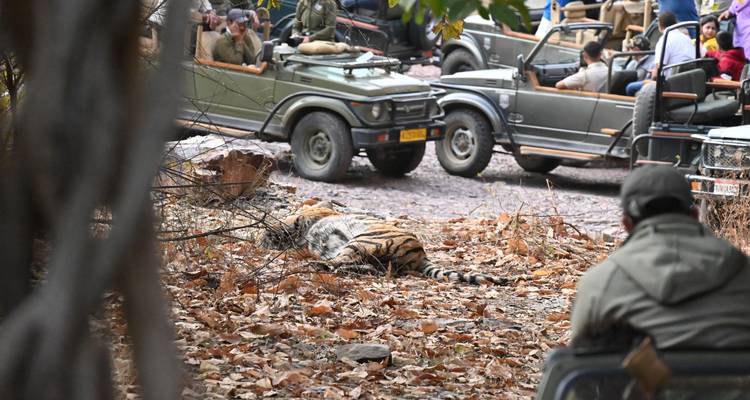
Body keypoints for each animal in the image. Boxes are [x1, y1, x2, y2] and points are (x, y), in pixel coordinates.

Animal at [260, 203, 508, 285]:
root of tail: (421, 253)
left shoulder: (303, 217)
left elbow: (283, 223)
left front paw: (263, 236)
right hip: (374, 255)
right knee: (362, 267)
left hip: (364, 240)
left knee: (338, 262)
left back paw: (313, 264)